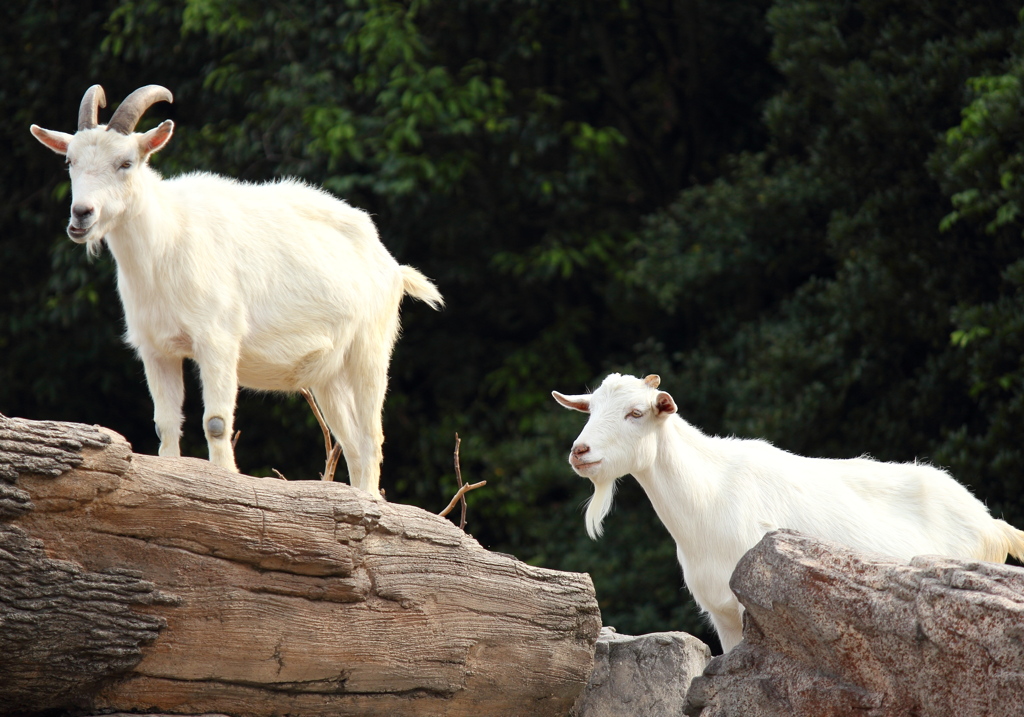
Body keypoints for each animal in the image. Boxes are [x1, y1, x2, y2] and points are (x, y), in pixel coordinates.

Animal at [30, 85, 440, 497]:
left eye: (126, 163)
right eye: (69, 161)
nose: (82, 215)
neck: (167, 242)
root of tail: (391, 264)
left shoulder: (218, 341)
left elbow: (216, 422)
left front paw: (225, 483)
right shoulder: (156, 349)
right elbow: (165, 424)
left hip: (370, 349)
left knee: (372, 438)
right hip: (330, 375)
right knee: (352, 443)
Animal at [552, 372, 1024, 651]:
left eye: (635, 412)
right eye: (591, 409)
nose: (580, 451)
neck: (708, 495)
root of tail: (991, 524)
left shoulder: (753, 606)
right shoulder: (722, 614)